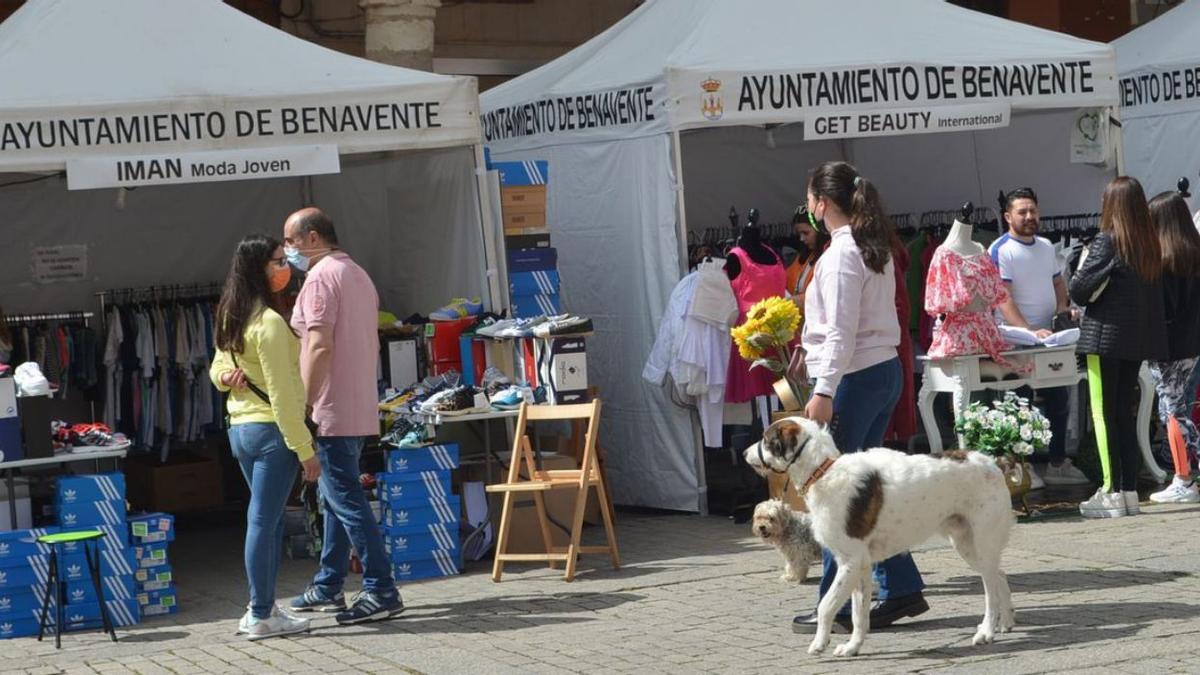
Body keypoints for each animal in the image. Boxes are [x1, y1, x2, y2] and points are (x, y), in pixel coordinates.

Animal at [744, 413, 1017, 653]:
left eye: (766, 439)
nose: (745, 453)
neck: (823, 471)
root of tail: (994, 463)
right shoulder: (861, 566)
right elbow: (859, 613)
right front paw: (853, 647)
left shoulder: (850, 562)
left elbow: (826, 605)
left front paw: (819, 643)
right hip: (966, 544)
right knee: (1000, 575)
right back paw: (1006, 622)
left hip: (981, 541)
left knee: (991, 589)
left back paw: (986, 631)